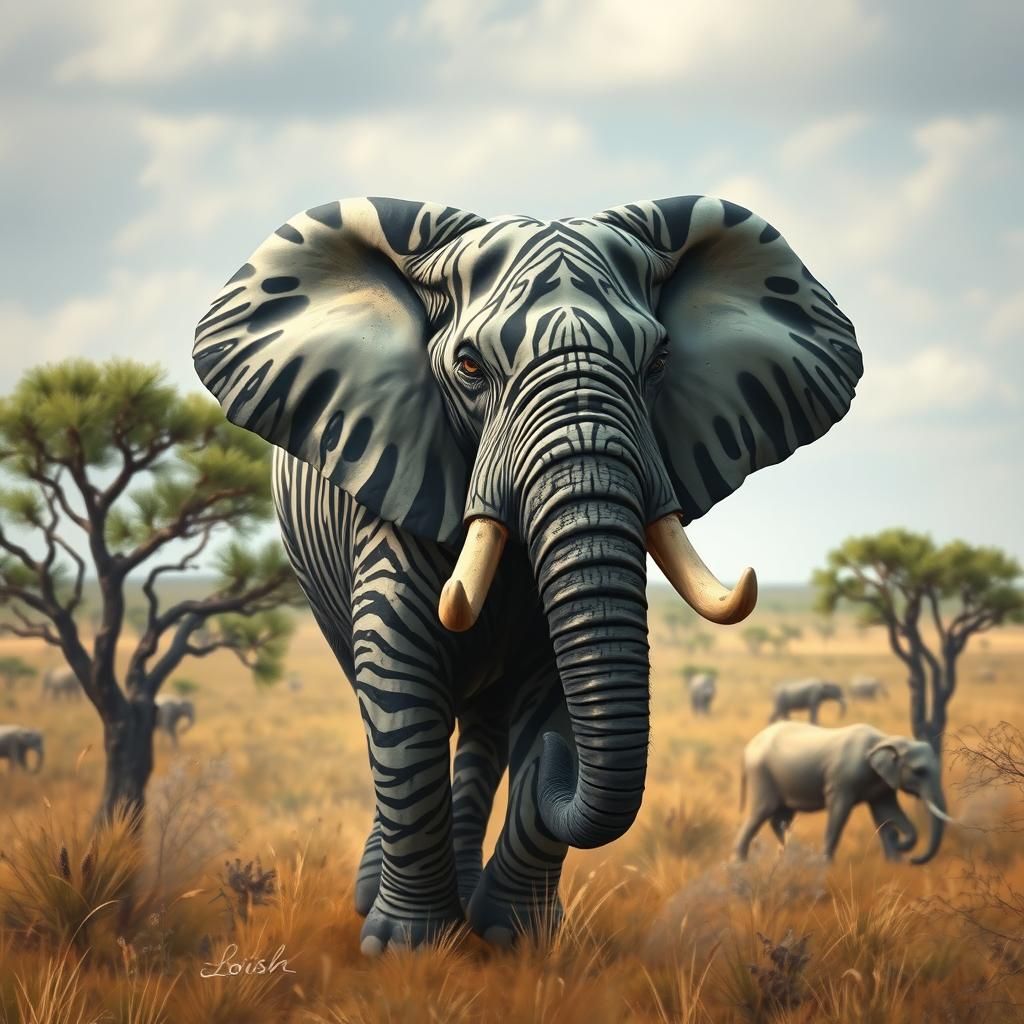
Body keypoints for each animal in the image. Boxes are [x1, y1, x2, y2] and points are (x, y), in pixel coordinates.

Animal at [192, 193, 861, 954]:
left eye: (659, 361)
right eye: (469, 368)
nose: (551, 765)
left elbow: (558, 678)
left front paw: (516, 938)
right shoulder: (397, 478)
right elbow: (399, 679)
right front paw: (408, 948)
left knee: (483, 729)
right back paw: (377, 901)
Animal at [733, 721, 949, 863]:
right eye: (919, 771)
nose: (913, 860)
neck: (885, 739)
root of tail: (746, 750)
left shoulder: (882, 783)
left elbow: (886, 812)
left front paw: (895, 863)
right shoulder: (842, 780)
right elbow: (839, 812)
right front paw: (824, 866)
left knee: (781, 818)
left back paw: (786, 859)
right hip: (761, 774)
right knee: (762, 812)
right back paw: (740, 865)